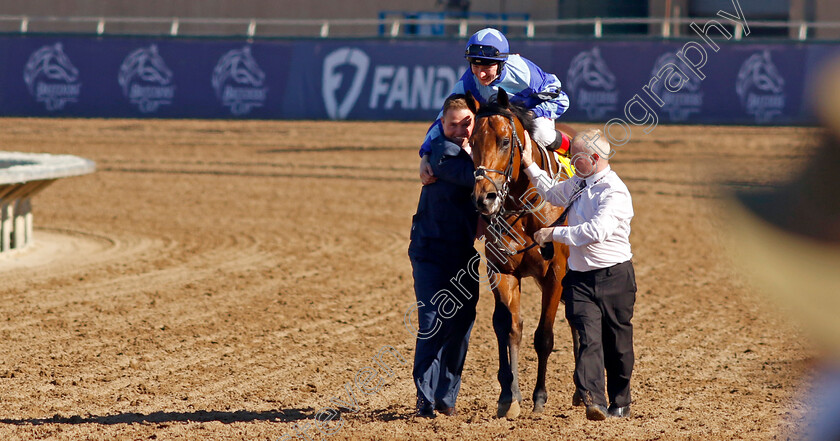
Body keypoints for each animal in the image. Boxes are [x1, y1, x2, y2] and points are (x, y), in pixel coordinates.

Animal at [466, 90, 576, 416]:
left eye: (505, 141)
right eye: (472, 141)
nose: (484, 198)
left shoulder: (556, 274)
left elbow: (544, 337)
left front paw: (539, 397)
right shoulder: (502, 272)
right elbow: (510, 328)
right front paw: (509, 396)